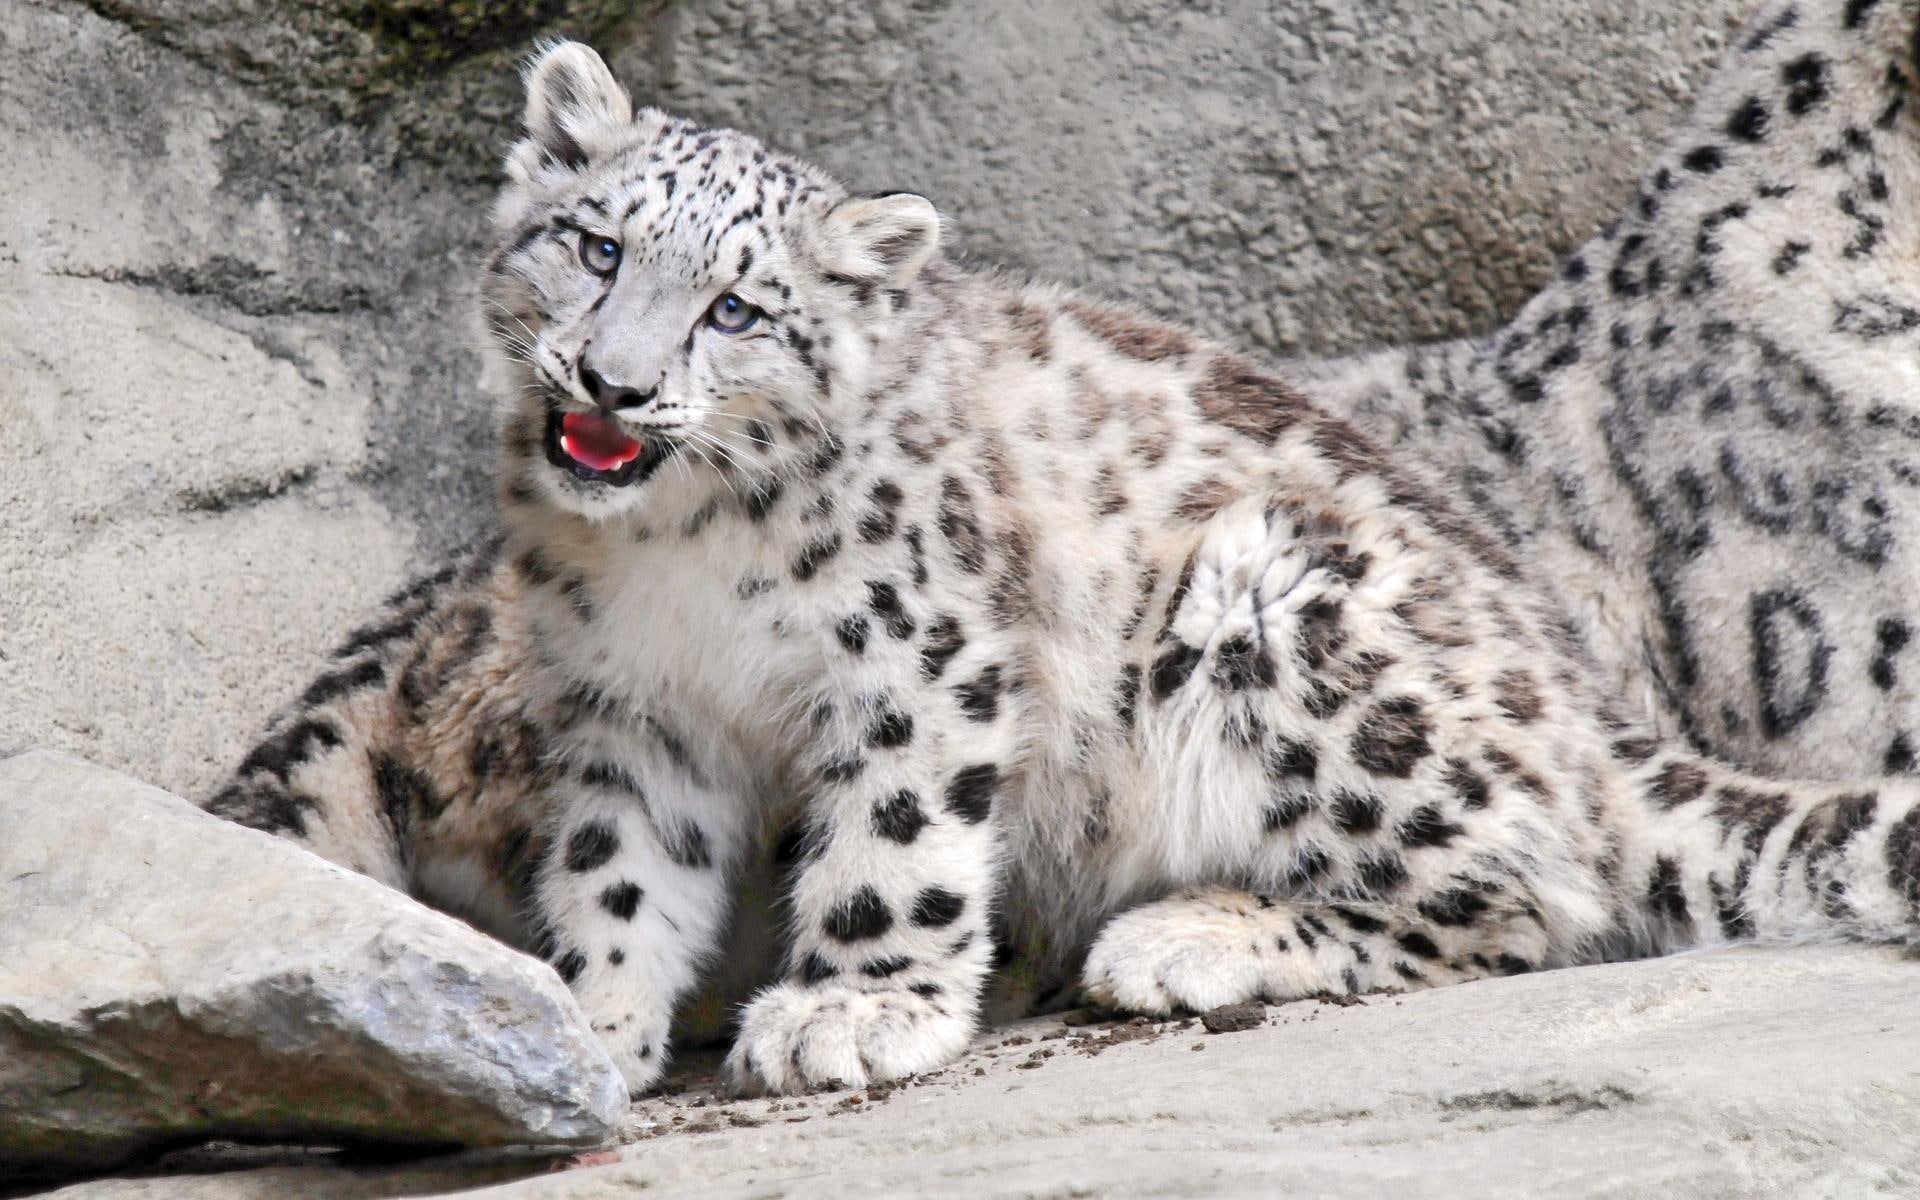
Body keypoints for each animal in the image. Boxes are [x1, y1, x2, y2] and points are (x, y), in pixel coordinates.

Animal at [208, 28, 1920, 1100]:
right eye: (598, 246)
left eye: (738, 310)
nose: (613, 387)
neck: (676, 561)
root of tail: (1583, 714)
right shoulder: (633, 710)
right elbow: (625, 868)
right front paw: (594, 1016)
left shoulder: (919, 653)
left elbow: (895, 839)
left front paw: (849, 1011)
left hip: (1281, 608)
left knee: (1527, 894)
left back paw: (1187, 937)